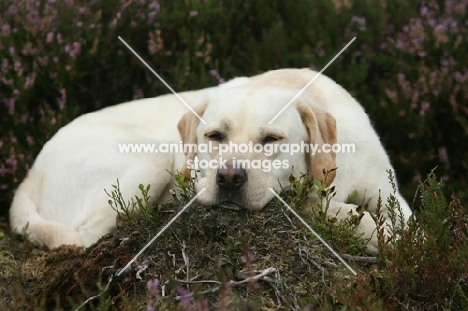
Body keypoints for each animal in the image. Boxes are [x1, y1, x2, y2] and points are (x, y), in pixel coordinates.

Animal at [9, 67, 412, 254]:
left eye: (272, 140)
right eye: (215, 136)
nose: (229, 178)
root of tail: (30, 173)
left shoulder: (389, 192)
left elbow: (411, 229)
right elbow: (337, 213)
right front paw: (364, 226)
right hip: (153, 157)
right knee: (86, 235)